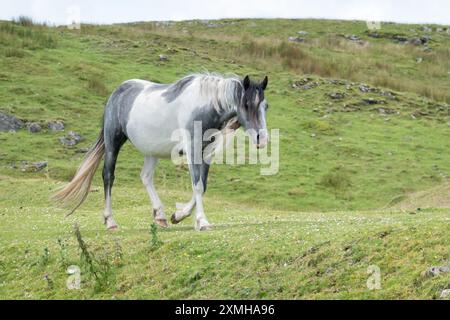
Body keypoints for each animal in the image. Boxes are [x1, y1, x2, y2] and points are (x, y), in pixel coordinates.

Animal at [54, 73, 268, 230]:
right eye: (246, 104)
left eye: (265, 106)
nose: (262, 139)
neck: (204, 106)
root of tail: (117, 92)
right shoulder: (192, 150)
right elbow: (197, 186)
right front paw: (202, 221)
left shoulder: (205, 152)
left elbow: (202, 185)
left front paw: (178, 215)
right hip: (113, 142)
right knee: (108, 176)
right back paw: (110, 221)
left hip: (151, 151)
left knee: (146, 177)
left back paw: (160, 216)